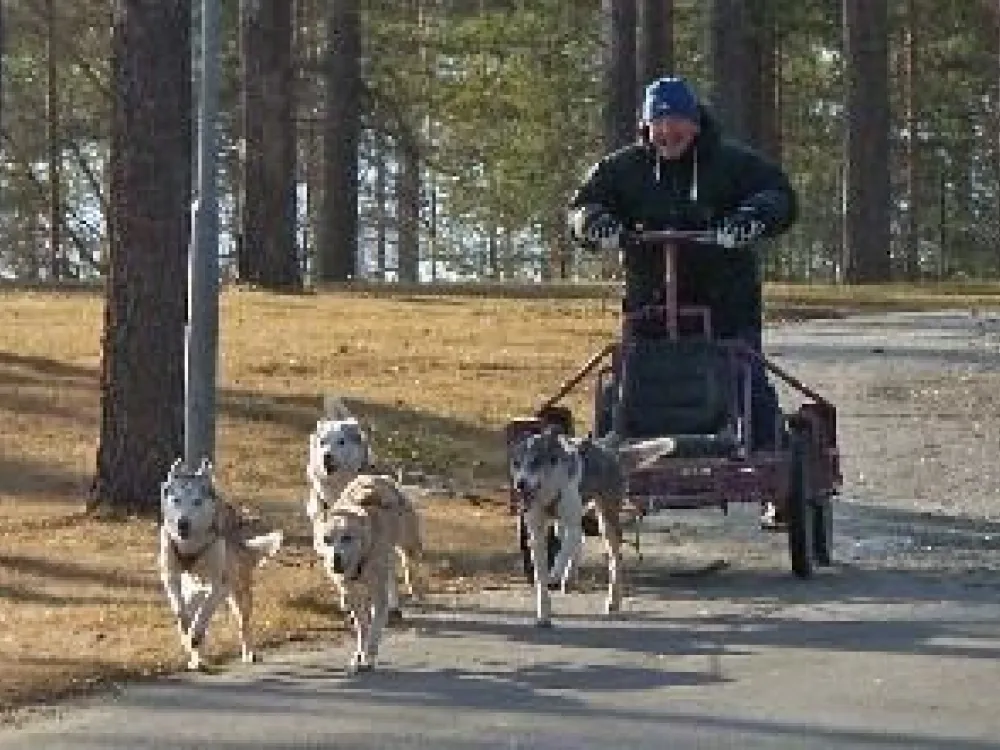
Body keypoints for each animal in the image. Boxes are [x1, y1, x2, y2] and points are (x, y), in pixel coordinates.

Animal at [160, 462, 284, 672]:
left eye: (197, 502)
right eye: (176, 500)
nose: (182, 523)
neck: (191, 546)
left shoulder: (221, 585)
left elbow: (205, 613)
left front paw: (196, 633)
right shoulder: (171, 576)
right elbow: (181, 611)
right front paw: (186, 631)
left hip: (239, 594)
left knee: (243, 624)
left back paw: (248, 654)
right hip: (196, 589)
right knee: (192, 605)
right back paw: (196, 659)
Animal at [310, 476, 424, 676]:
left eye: (347, 538)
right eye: (327, 539)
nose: (335, 560)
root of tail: (380, 478)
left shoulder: (378, 594)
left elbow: (374, 629)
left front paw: (368, 657)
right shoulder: (353, 593)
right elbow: (362, 626)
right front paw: (359, 655)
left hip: (408, 544)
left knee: (407, 565)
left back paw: (410, 588)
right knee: (390, 577)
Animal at [508, 428, 624, 628]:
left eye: (536, 461)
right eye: (516, 463)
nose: (520, 484)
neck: (548, 491)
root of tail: (606, 447)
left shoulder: (572, 525)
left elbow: (562, 554)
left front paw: (554, 574)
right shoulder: (537, 534)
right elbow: (540, 577)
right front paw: (544, 614)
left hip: (606, 522)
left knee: (612, 559)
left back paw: (612, 601)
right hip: (560, 526)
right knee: (578, 542)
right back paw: (569, 577)